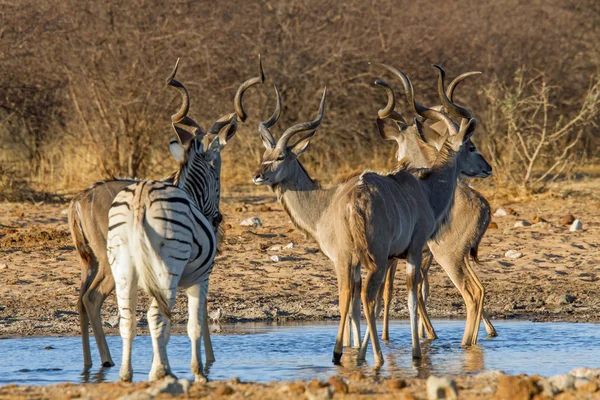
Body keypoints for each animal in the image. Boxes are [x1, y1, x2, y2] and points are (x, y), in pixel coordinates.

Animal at [106, 61, 238, 382]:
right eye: (218, 174)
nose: (217, 218)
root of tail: (141, 197)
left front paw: (158, 369)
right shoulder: (200, 278)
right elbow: (193, 325)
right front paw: (196, 372)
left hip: (122, 267)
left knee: (128, 319)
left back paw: (127, 375)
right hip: (168, 268)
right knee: (155, 315)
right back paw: (164, 373)